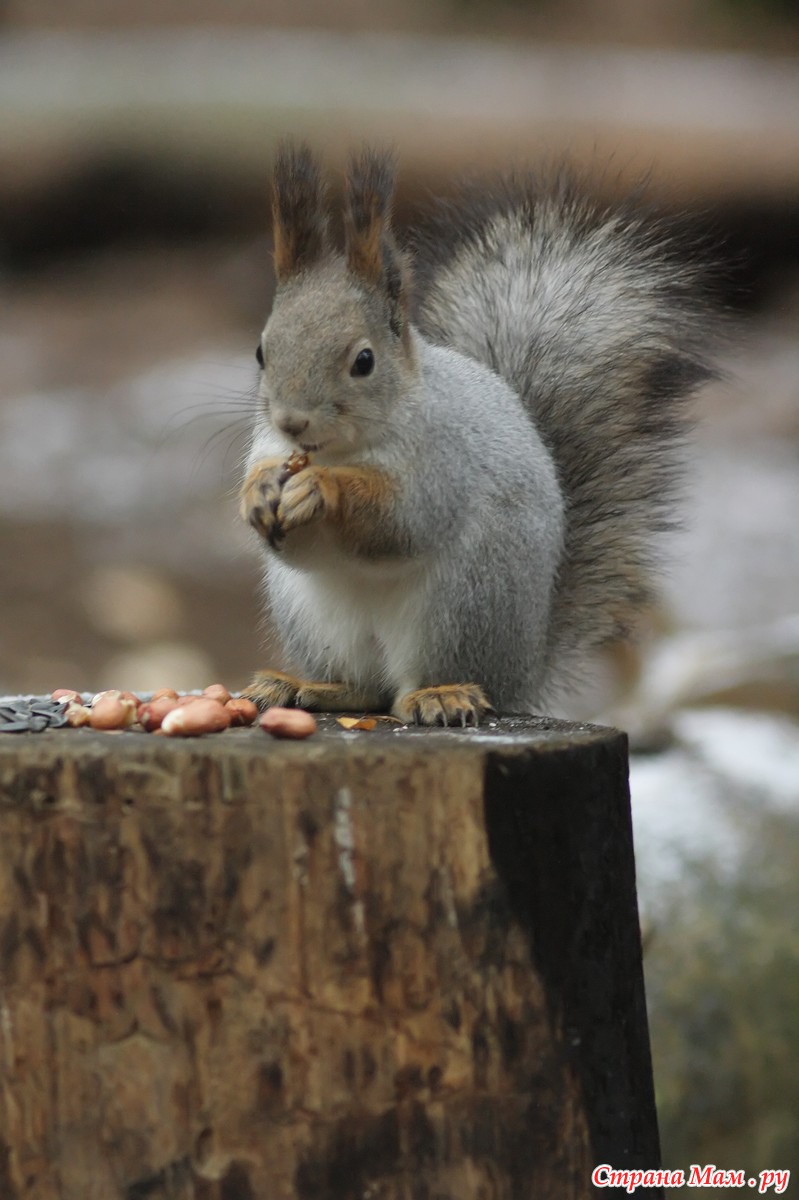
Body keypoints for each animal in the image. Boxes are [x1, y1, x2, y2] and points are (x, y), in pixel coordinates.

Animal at [239, 140, 710, 720]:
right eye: (261, 352)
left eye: (364, 361)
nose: (291, 421)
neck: (339, 451)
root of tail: (524, 673)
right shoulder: (269, 446)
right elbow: (293, 543)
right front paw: (258, 490)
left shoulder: (444, 462)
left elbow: (401, 520)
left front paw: (322, 489)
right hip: (315, 618)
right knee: (367, 690)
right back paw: (308, 687)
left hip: (463, 604)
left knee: (416, 689)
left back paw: (440, 694)